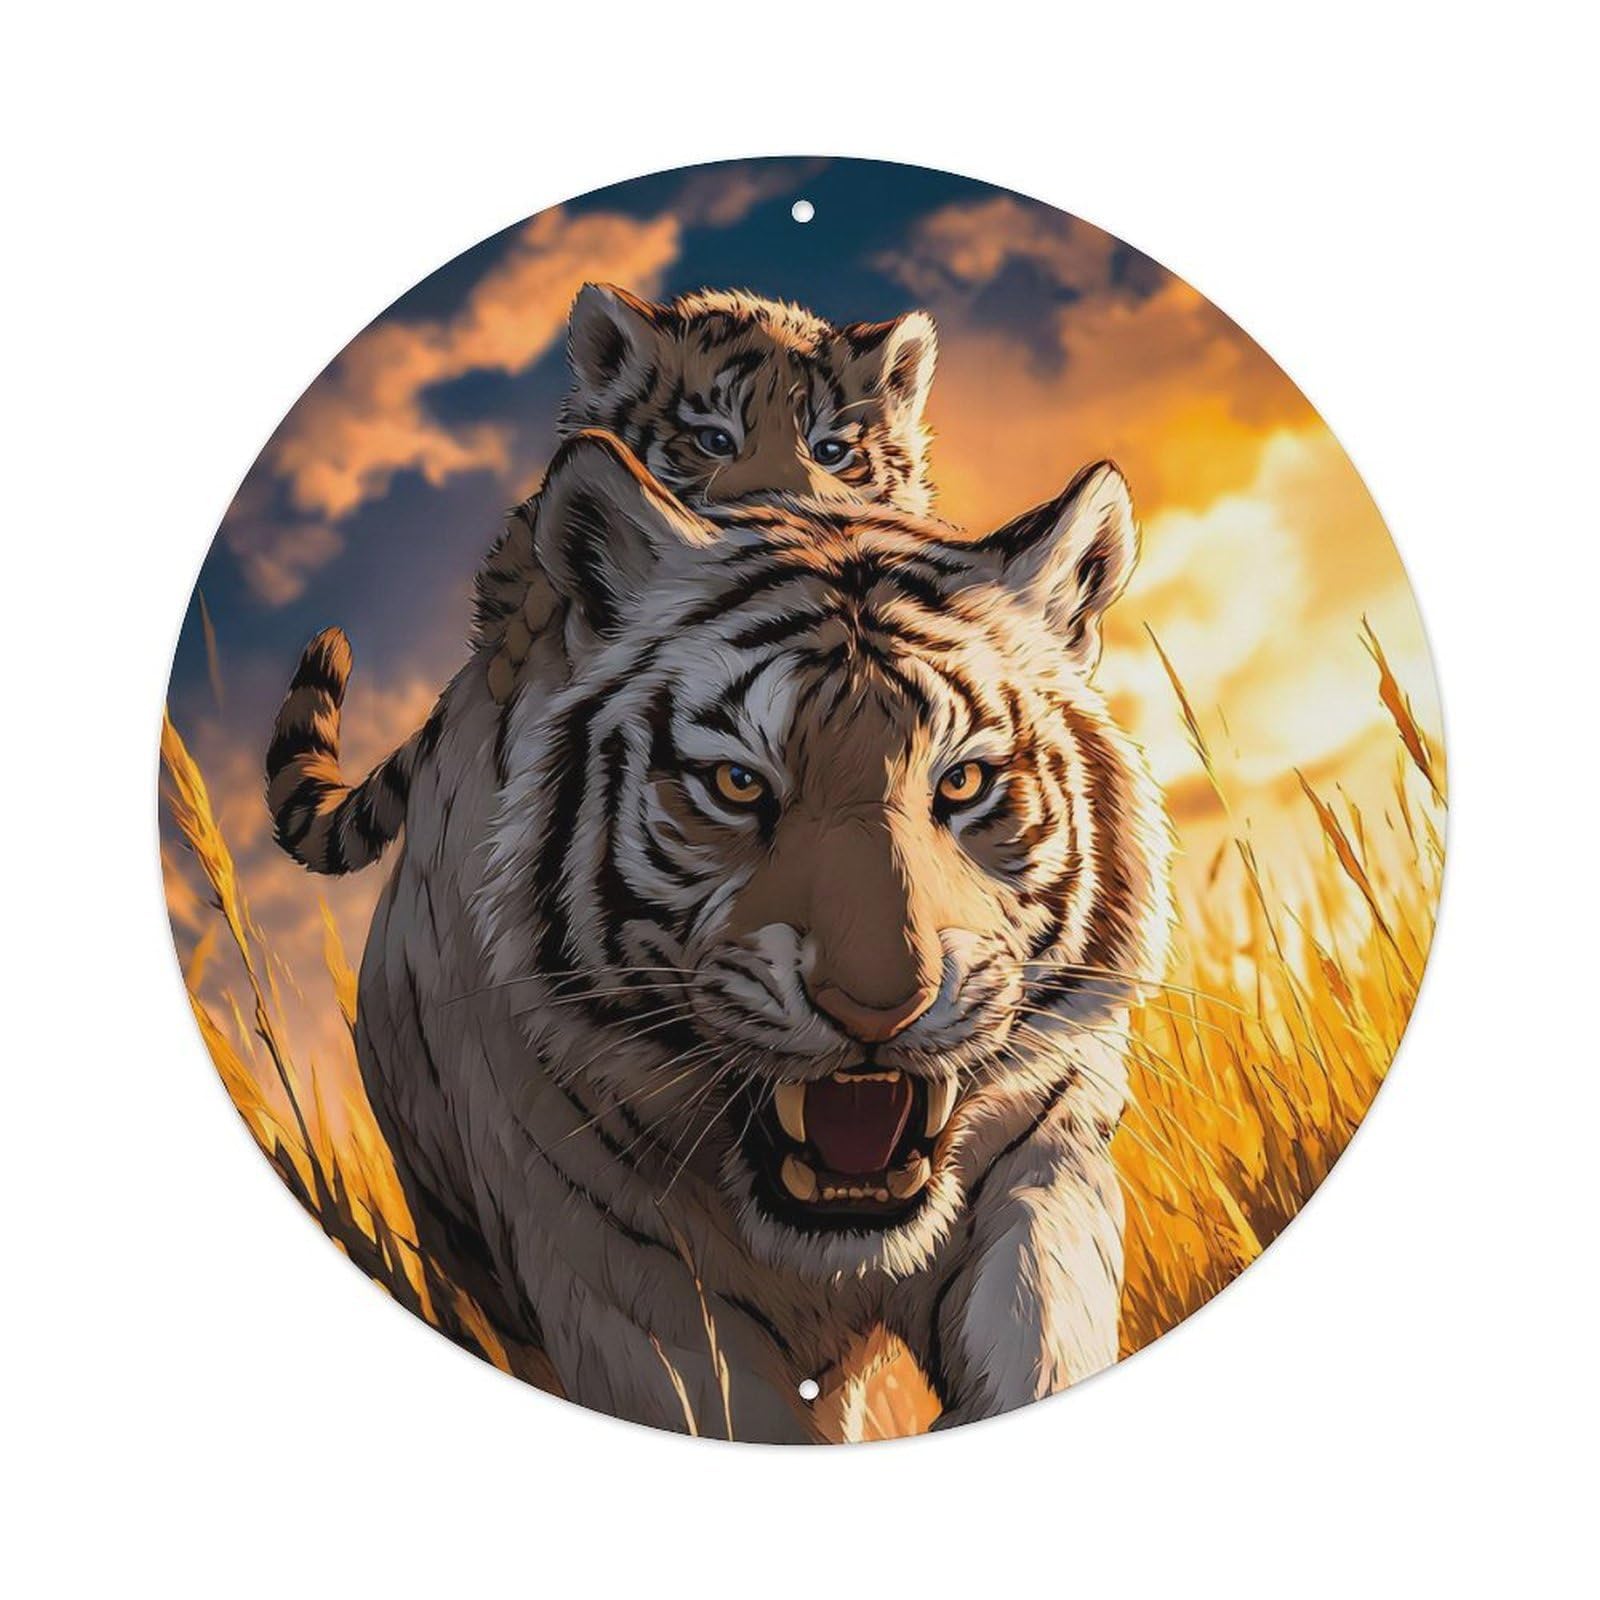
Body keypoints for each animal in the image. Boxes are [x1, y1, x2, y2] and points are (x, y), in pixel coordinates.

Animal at [314, 427, 1172, 1439]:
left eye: (962, 783)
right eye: (738, 784)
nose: (880, 1005)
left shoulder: (1041, 1159)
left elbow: (1038, 1335)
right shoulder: (626, 1287)